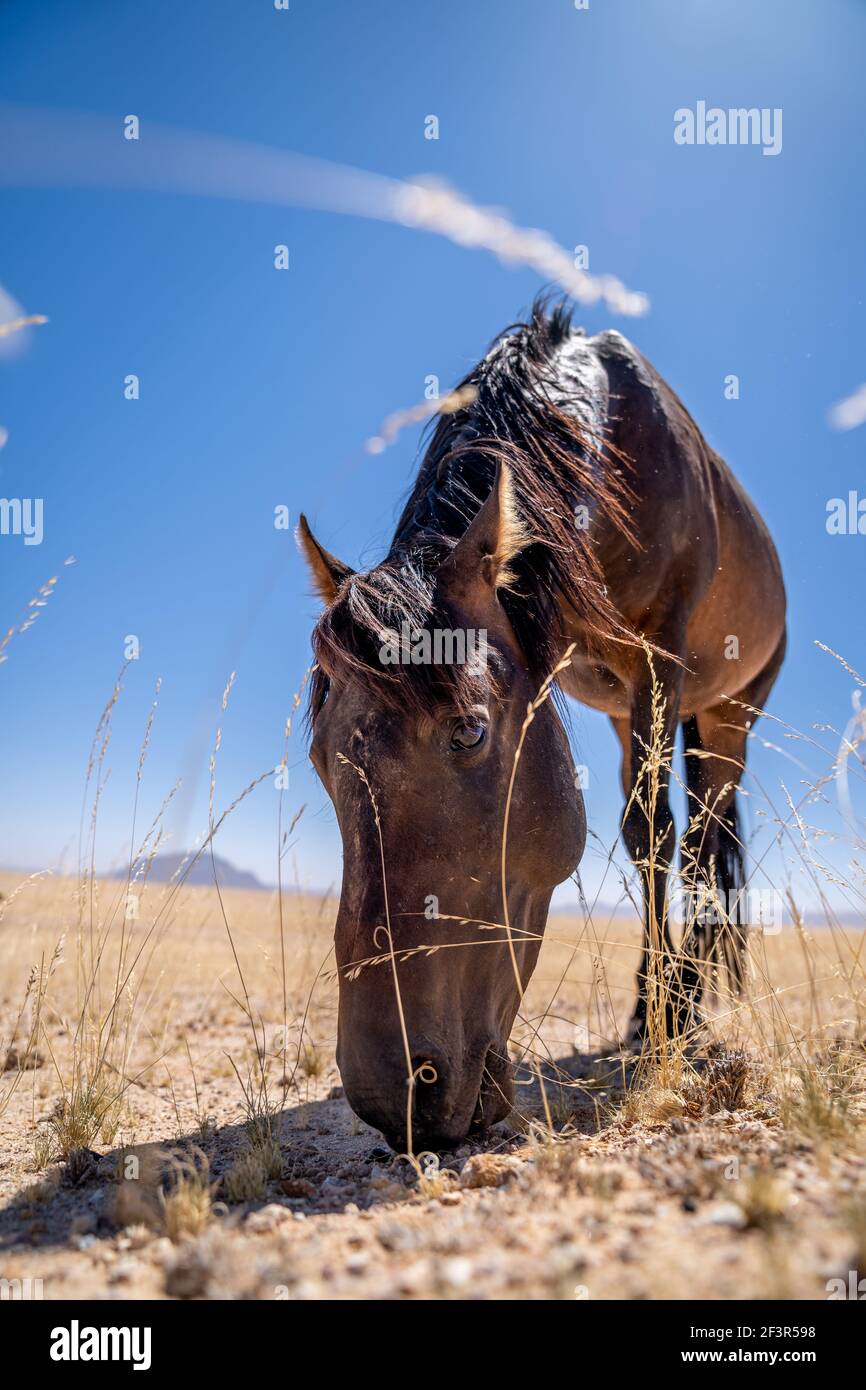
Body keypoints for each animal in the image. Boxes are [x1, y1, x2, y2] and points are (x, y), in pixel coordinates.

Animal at [297, 301, 783, 1150]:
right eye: (321, 759)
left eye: (469, 731)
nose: (395, 1097)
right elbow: (641, 835)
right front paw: (647, 1015)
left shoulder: (661, 655)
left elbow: (660, 836)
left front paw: (671, 1022)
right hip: (637, 716)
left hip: (731, 712)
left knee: (699, 837)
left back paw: (686, 1005)